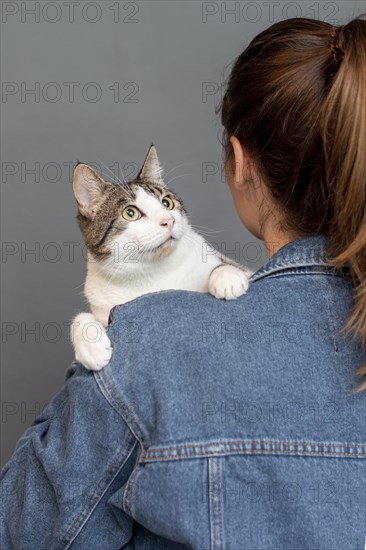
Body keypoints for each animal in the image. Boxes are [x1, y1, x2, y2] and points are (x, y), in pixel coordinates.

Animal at [71, 144, 252, 374]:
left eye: (167, 203)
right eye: (130, 213)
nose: (169, 220)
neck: (152, 273)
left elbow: (222, 265)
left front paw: (226, 276)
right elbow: (80, 317)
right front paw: (91, 346)